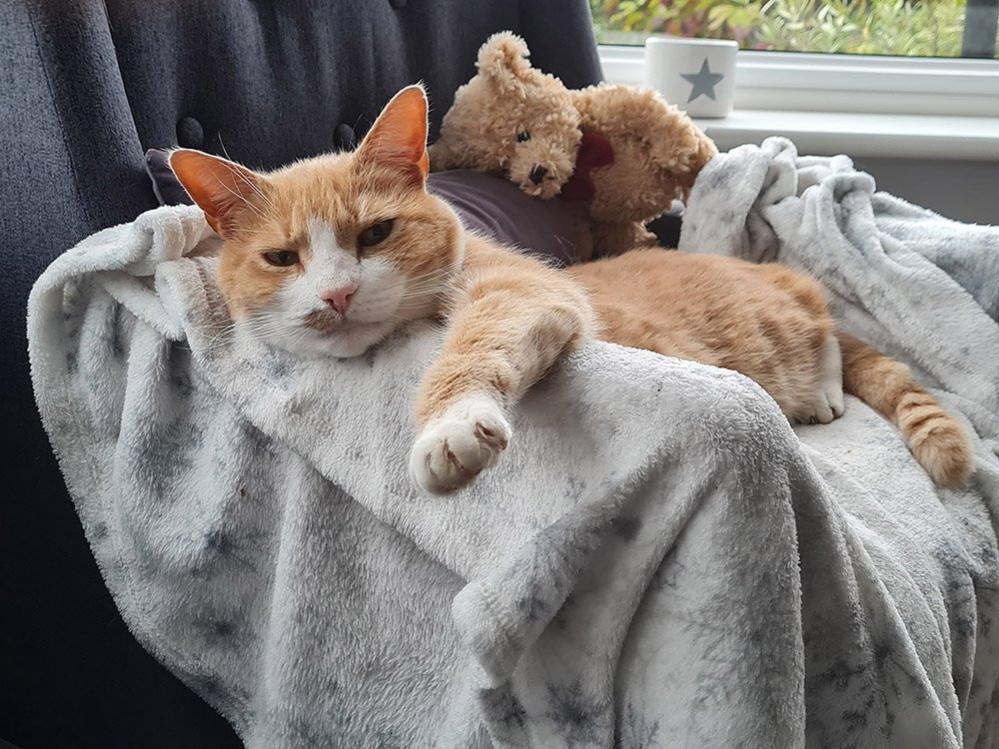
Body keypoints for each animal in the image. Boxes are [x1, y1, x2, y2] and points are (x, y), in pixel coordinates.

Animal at [170, 86, 968, 490]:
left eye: (374, 234)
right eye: (282, 257)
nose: (336, 296)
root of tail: (766, 267)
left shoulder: (521, 292)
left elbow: (470, 351)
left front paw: (450, 426)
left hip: (796, 311)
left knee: (827, 332)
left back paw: (825, 388)